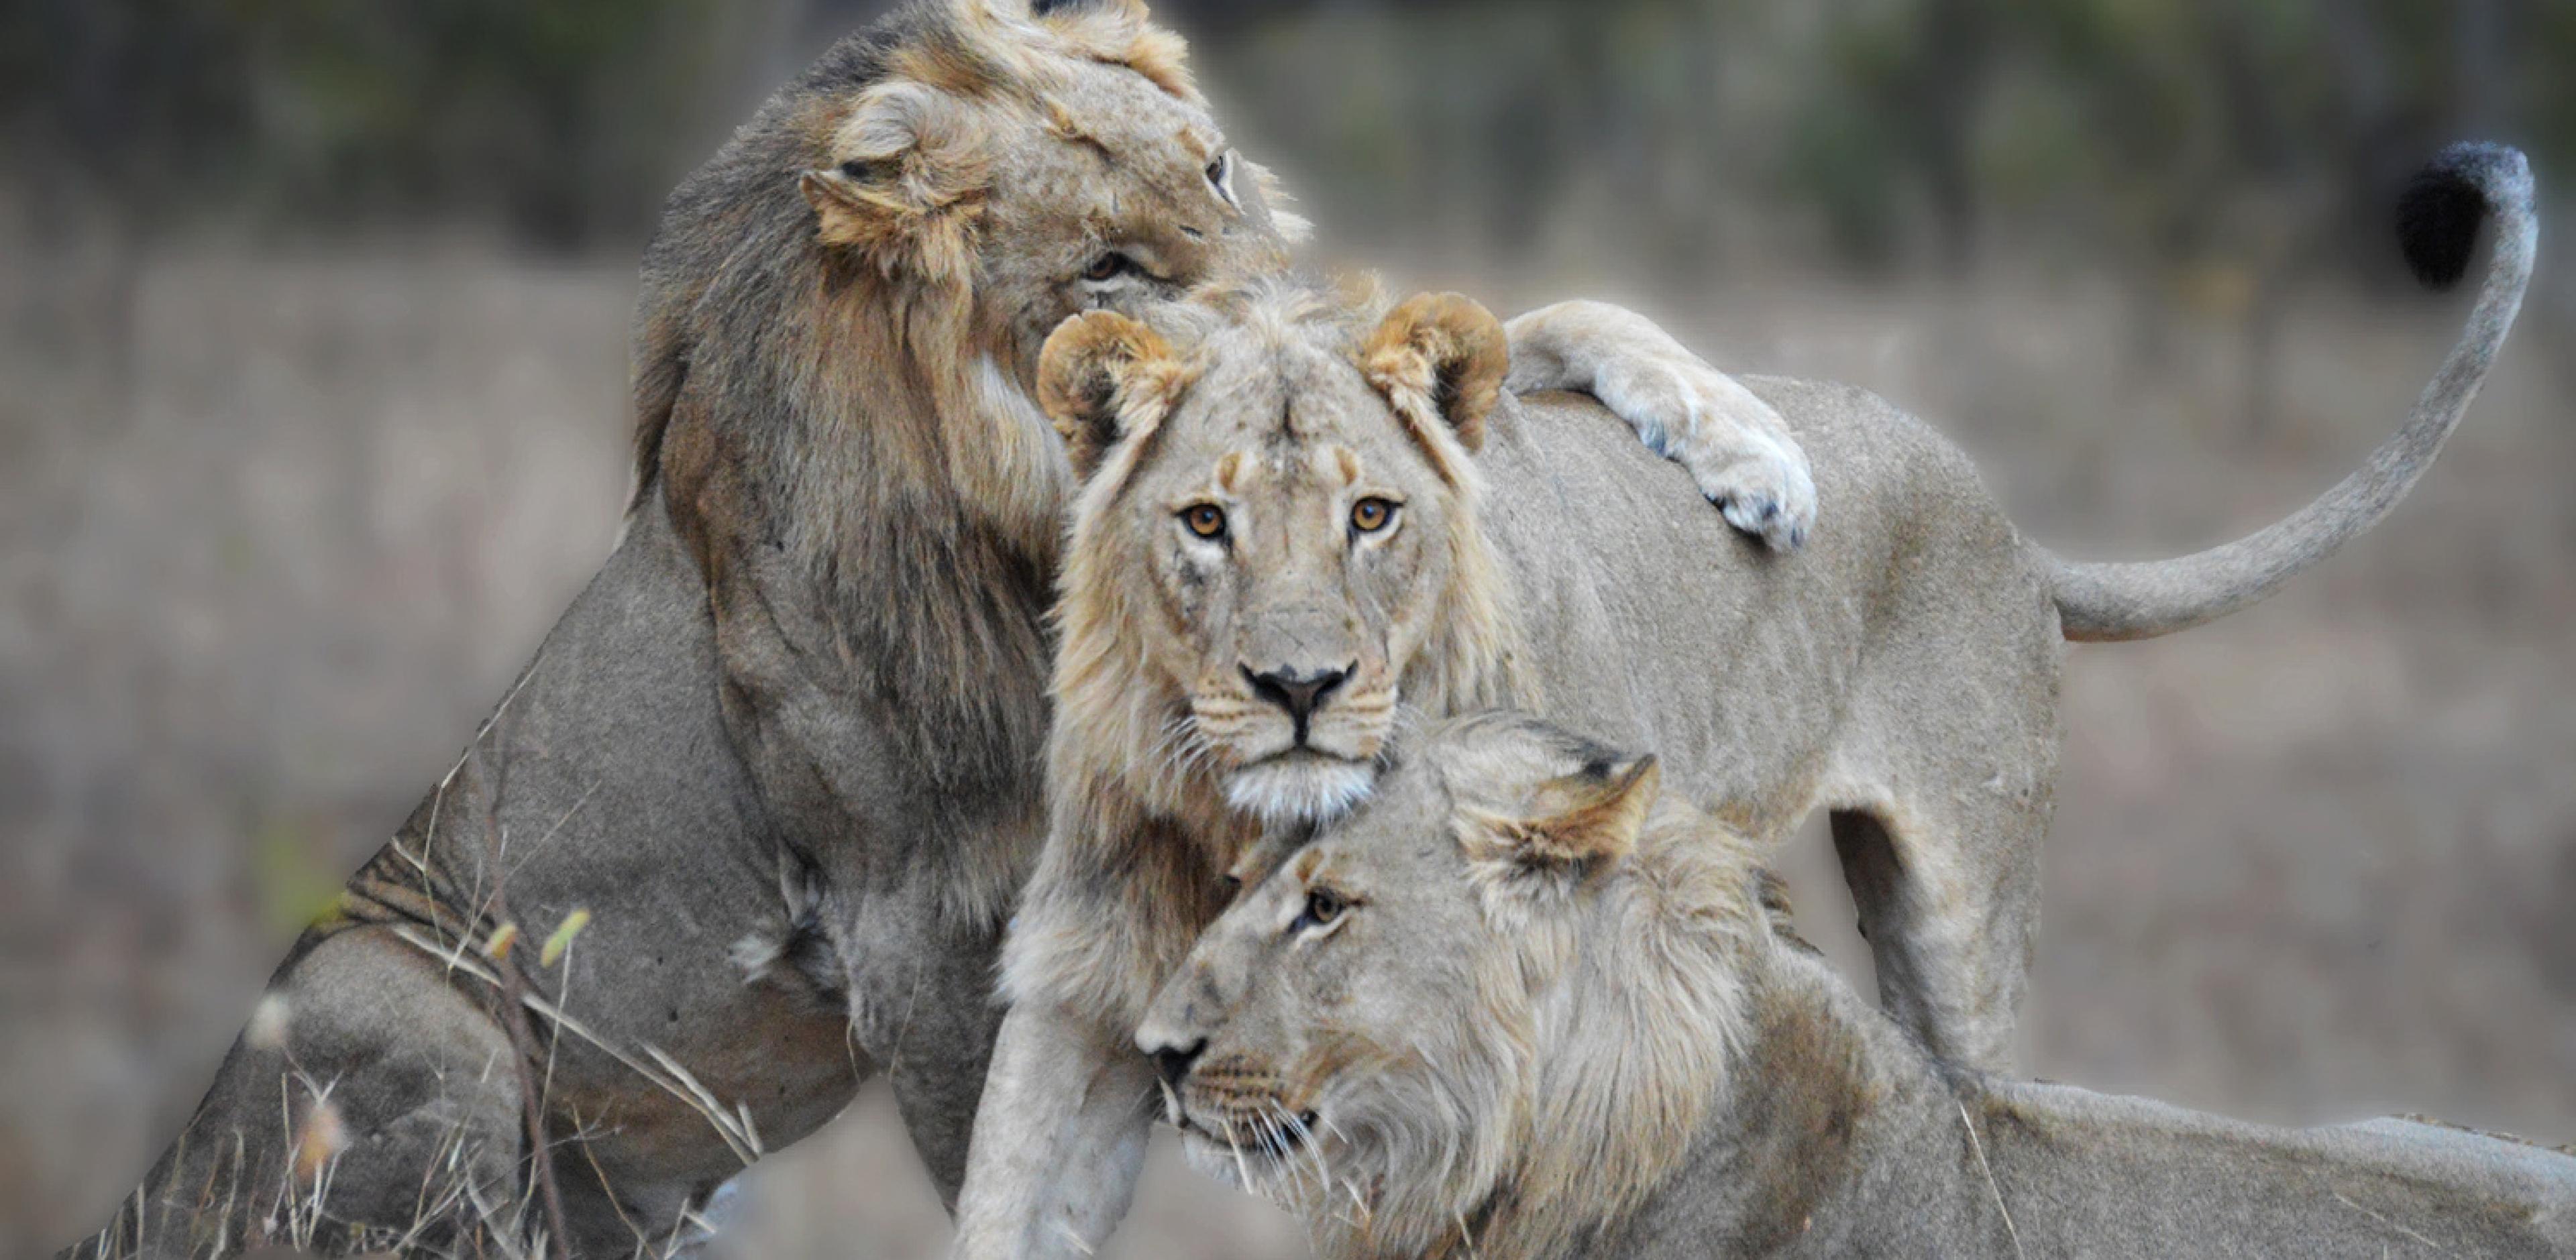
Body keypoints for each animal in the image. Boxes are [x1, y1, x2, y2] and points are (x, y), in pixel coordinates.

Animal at [72, 1, 1815, 1255]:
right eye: (1107, 262)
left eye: (1215, 169)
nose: (1300, 318)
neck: (1028, 488)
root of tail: (146, 1198)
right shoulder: (922, 924)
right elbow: (1009, 1165)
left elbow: (1537, 333)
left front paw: (1748, 449)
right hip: (394, 1004)